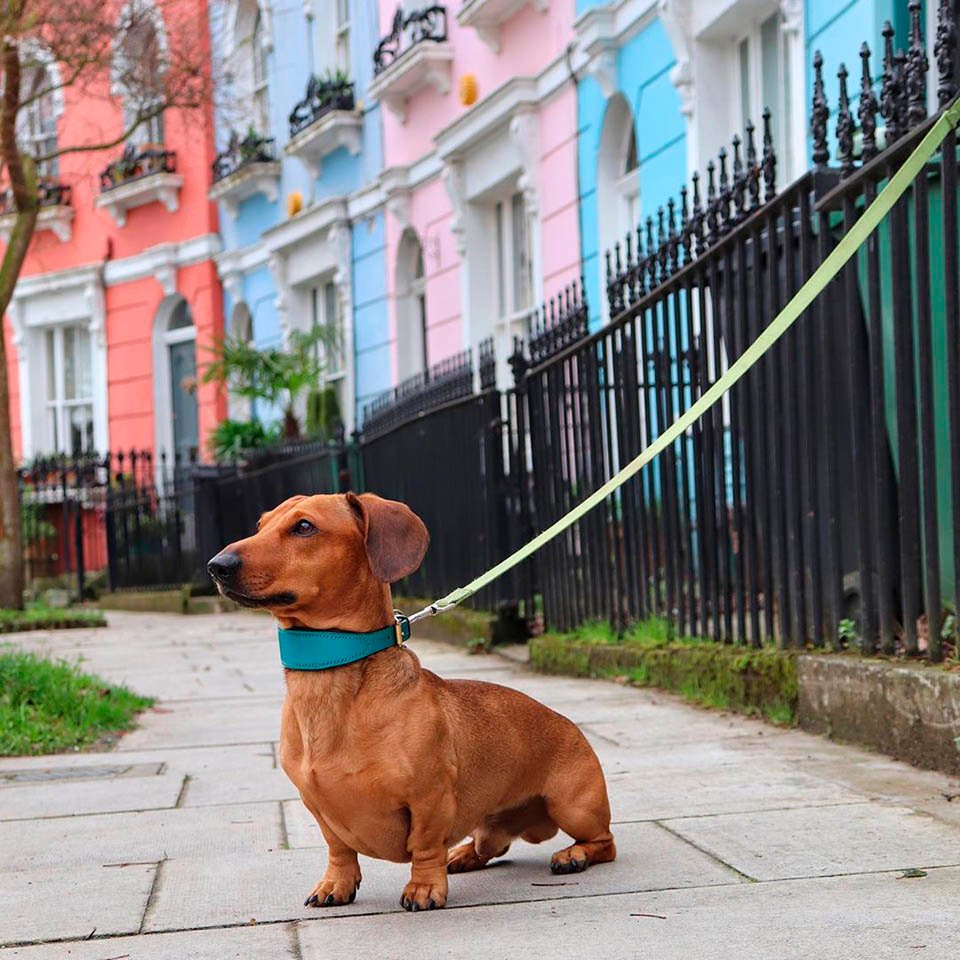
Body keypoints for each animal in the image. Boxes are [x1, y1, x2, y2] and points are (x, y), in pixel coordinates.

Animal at [207, 492, 620, 912]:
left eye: (304, 527)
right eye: (261, 525)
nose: (217, 567)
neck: (331, 683)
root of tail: (568, 723)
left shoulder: (429, 799)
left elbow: (424, 846)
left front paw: (424, 888)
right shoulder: (318, 807)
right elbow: (338, 848)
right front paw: (336, 883)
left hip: (573, 807)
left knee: (605, 843)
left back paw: (573, 855)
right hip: (493, 823)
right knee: (492, 845)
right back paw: (464, 854)